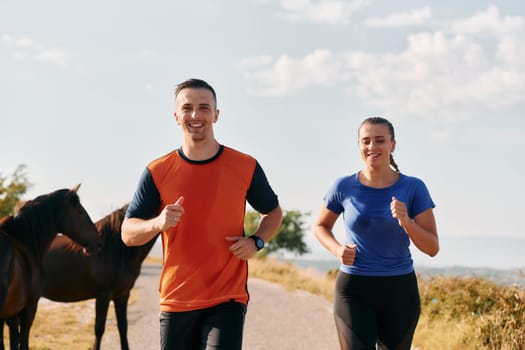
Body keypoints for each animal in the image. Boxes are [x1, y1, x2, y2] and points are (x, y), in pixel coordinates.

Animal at [0, 185, 102, 350]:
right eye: (81, 212)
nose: (98, 243)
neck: (25, 242)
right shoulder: (29, 308)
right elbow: (23, 341)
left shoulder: (10, 315)